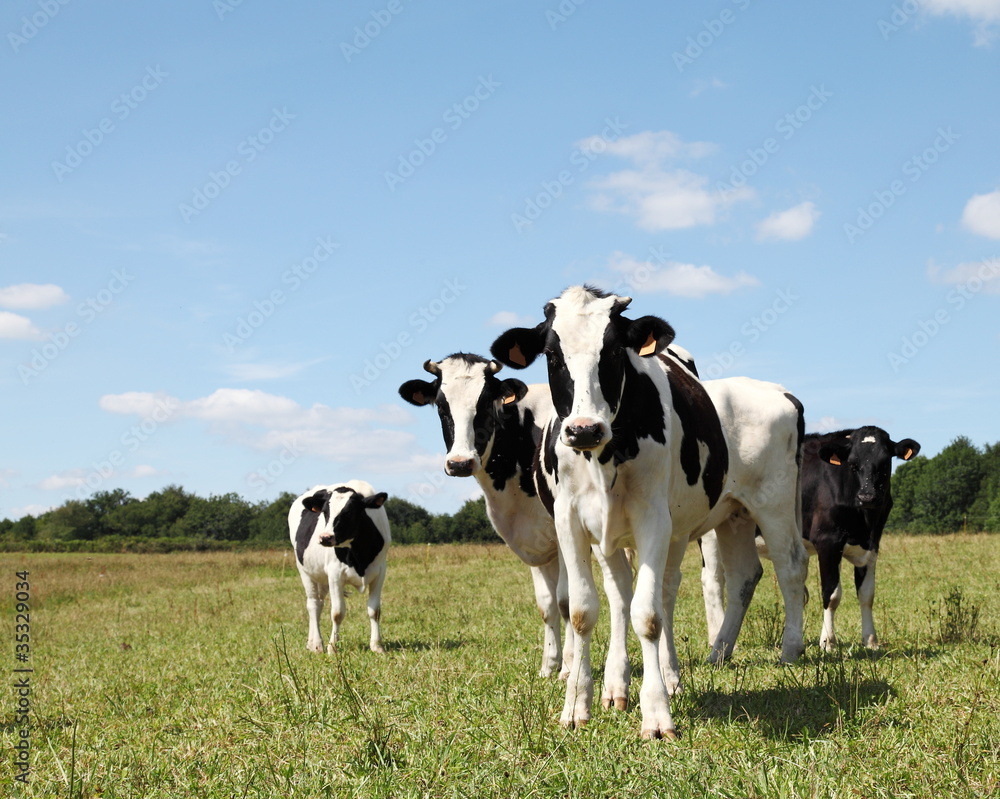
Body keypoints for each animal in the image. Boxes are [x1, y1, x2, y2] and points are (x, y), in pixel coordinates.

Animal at [290, 482, 390, 656]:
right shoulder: (335, 574)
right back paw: (317, 644)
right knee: (313, 604)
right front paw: (333, 647)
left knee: (319, 604)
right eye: (325, 512)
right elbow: (337, 613)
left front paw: (377, 646)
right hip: (305, 571)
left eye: (349, 512)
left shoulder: (380, 572)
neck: (359, 553)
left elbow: (375, 611)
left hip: (321, 577)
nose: (325, 537)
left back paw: (311, 642)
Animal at [398, 356, 632, 708]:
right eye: (441, 405)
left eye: (485, 405)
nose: (460, 463)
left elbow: (565, 601)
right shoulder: (534, 542)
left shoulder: (562, 534)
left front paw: (568, 667)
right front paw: (549, 664)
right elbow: (546, 604)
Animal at [488, 286, 808, 736]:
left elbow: (649, 613)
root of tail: (779, 392)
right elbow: (585, 610)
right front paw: (578, 705)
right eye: (552, 354)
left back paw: (789, 650)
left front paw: (656, 713)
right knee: (739, 576)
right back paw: (713, 653)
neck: (603, 455)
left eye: (613, 351)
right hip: (731, 515)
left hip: (772, 502)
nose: (583, 429)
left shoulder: (653, 519)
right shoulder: (571, 521)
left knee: (789, 567)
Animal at [800, 424, 916, 648]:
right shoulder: (827, 542)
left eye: (884, 462)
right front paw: (828, 641)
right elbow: (831, 594)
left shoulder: (872, 545)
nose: (867, 496)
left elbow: (867, 594)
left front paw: (870, 640)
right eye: (853, 464)